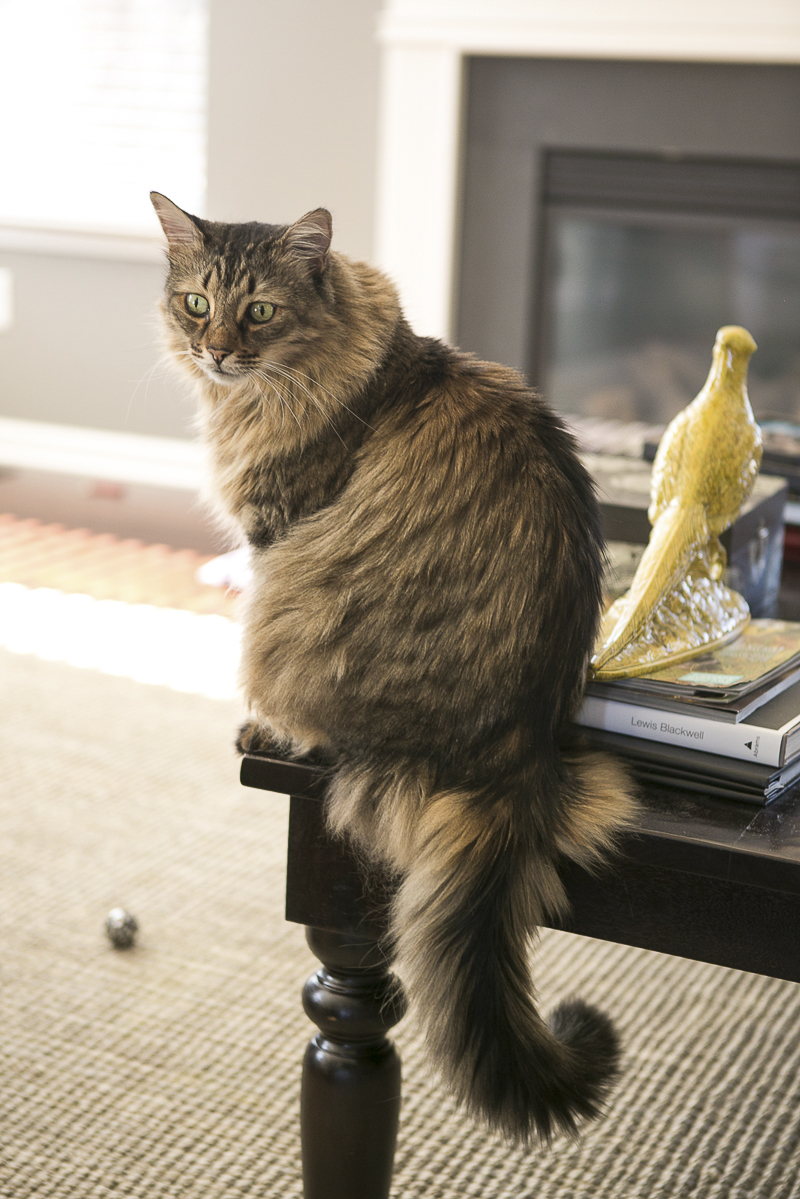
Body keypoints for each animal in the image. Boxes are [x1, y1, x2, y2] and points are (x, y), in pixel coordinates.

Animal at [149, 191, 638, 1146]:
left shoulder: (274, 533)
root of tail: (520, 758)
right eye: (195, 303)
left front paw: (260, 727)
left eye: (258, 312)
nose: (215, 351)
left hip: (288, 613)